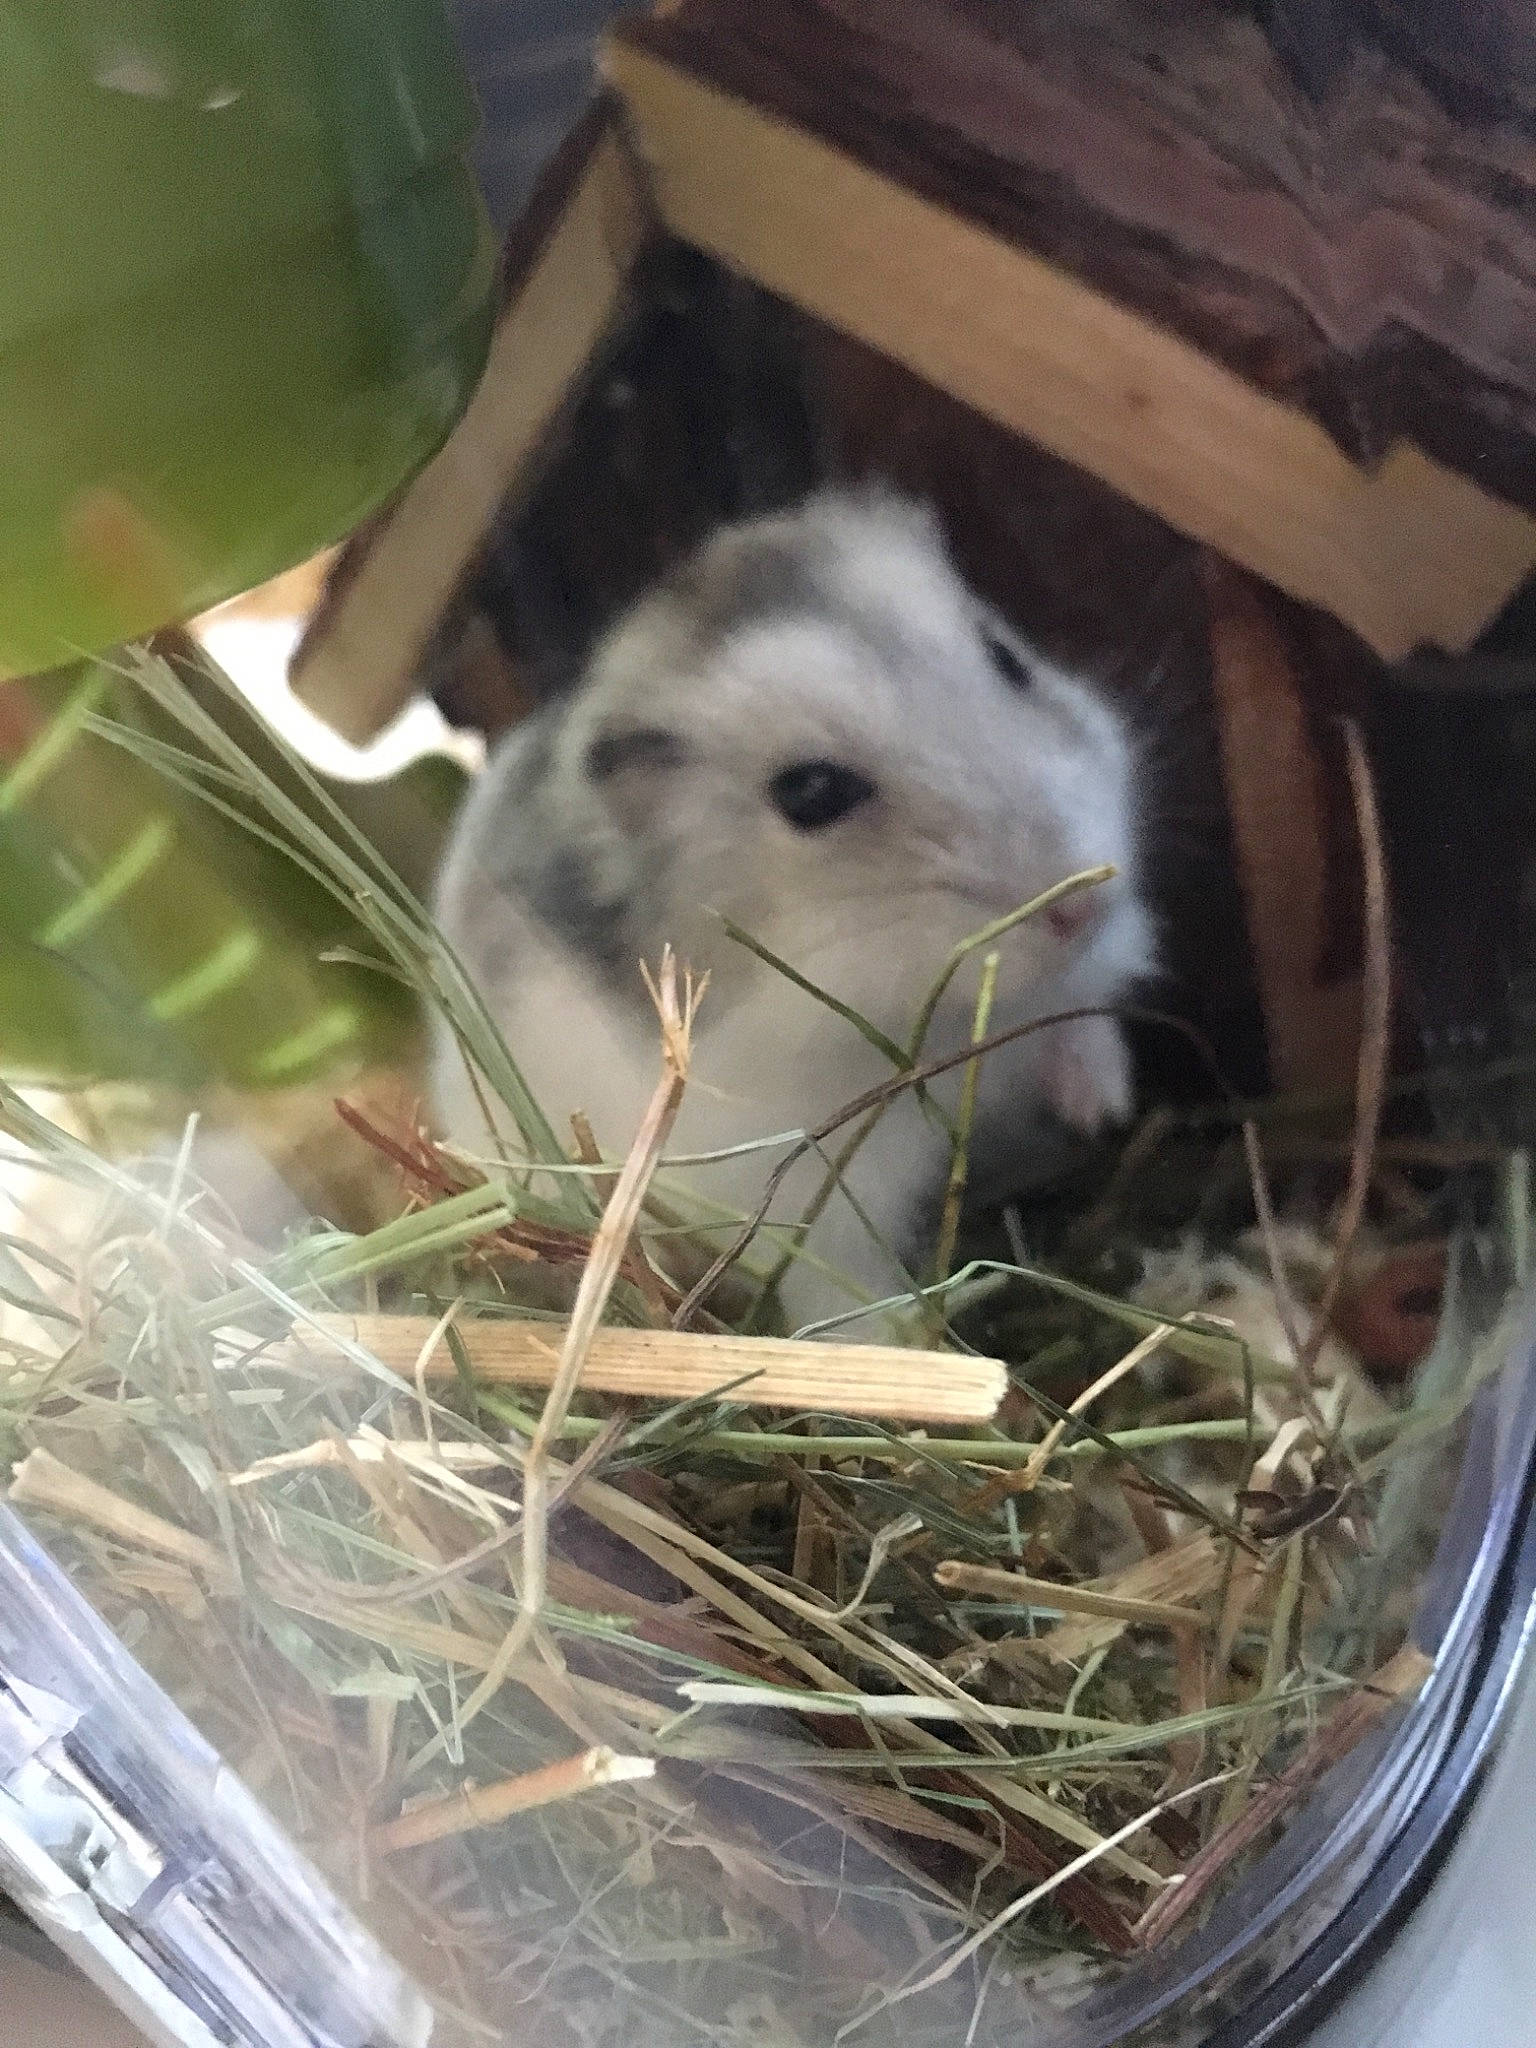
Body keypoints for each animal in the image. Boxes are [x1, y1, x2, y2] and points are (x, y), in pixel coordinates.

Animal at [431, 487, 1154, 1333]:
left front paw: (1103, 1107)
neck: (942, 1020)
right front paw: (906, 1340)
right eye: (810, 793)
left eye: (1008, 658)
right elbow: (844, 1294)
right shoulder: (817, 1203)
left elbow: (1078, 1020)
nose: (1085, 906)